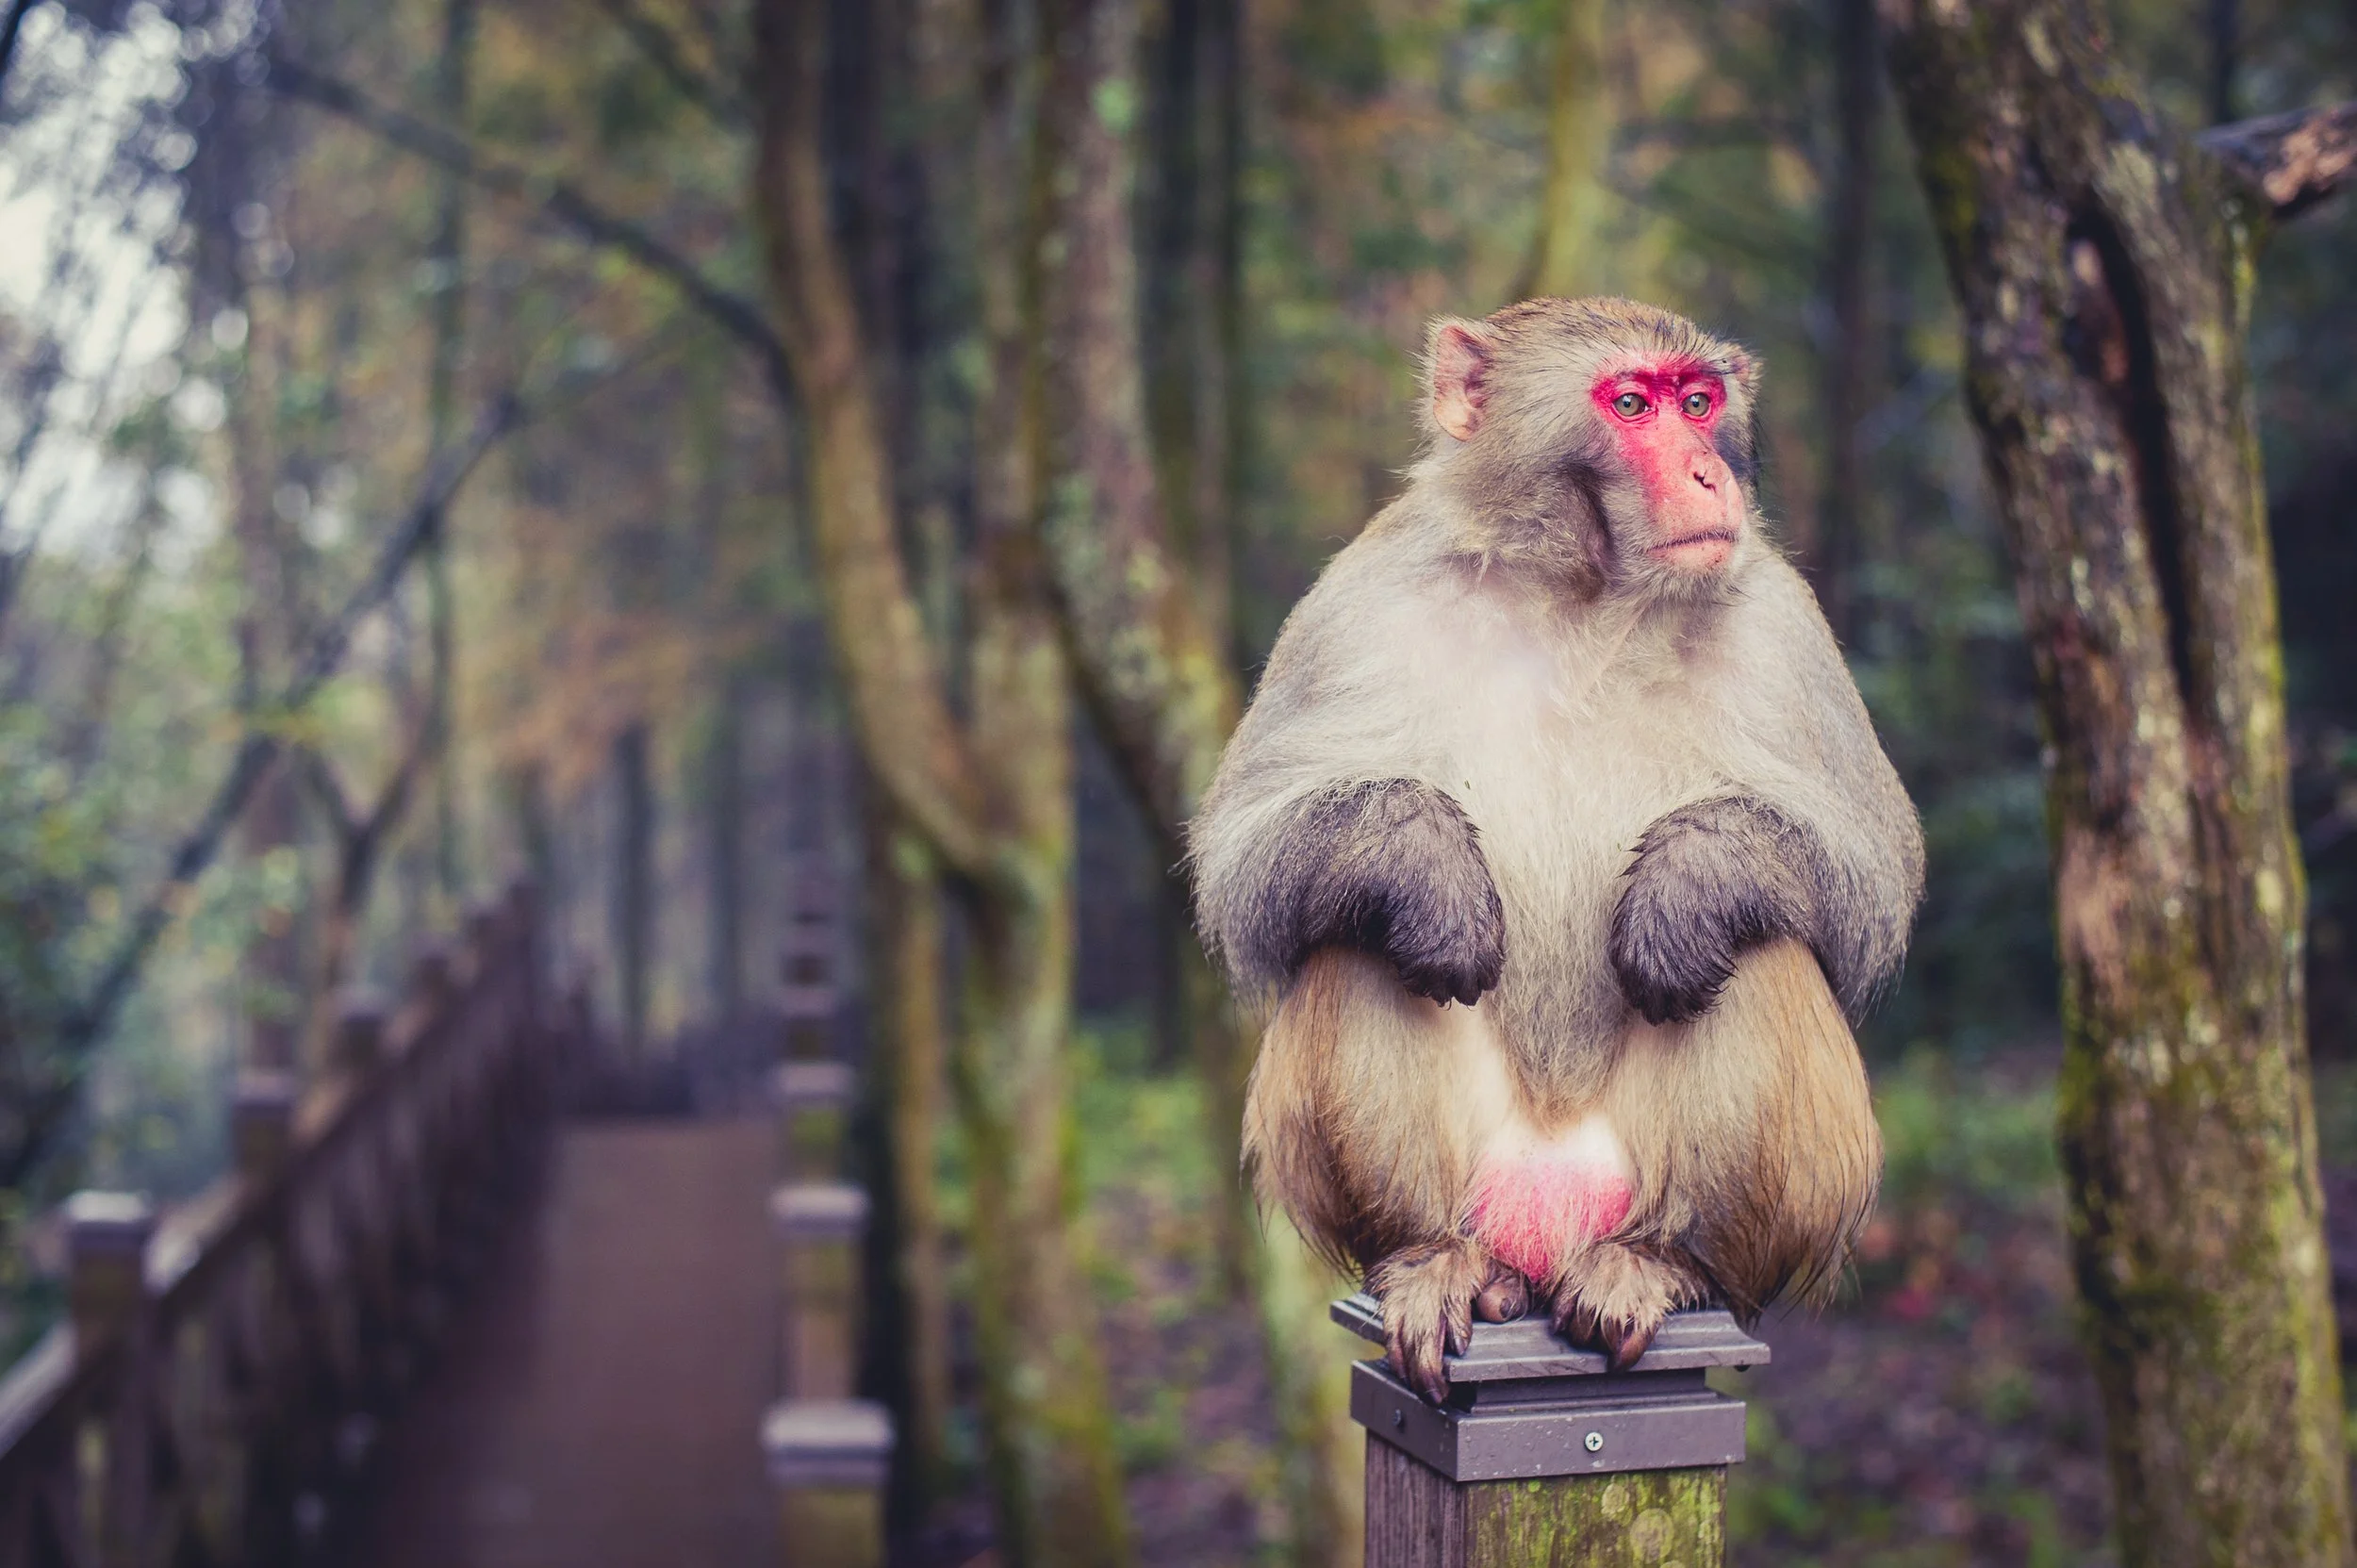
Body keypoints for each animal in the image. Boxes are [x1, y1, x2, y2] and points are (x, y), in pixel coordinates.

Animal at [1187, 297, 1921, 1403]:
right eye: (1631, 405)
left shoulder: (1781, 621)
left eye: (1697, 403)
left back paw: (1666, 1259)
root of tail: (1545, 1226)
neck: (1581, 593)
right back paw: (1428, 1256)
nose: (1708, 475)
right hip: (1484, 1191)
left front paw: (1687, 884)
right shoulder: (1362, 595)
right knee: (1355, 933)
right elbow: (1246, 861)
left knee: (1762, 944)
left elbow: (1872, 880)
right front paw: (1426, 867)